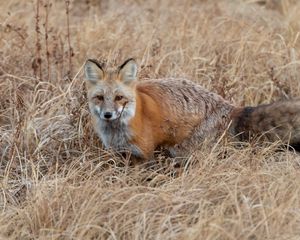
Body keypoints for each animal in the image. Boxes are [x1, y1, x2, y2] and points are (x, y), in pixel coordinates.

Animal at [83, 58, 300, 159]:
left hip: (185, 152)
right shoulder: (119, 153)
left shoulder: (144, 154)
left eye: (119, 98)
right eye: (100, 98)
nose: (108, 114)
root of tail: (231, 107)